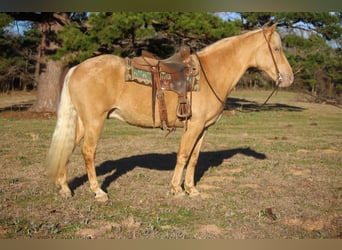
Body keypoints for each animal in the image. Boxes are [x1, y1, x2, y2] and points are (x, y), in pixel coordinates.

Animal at [46, 24, 294, 202]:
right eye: (276, 49)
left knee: (68, 147)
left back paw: (64, 188)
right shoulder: (193, 127)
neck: (209, 75)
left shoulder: (203, 128)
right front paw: (177, 189)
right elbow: (183, 156)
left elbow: (194, 159)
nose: (289, 78)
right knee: (88, 152)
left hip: (82, 122)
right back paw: (98, 192)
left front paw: (192, 189)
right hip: (94, 121)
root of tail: (77, 68)